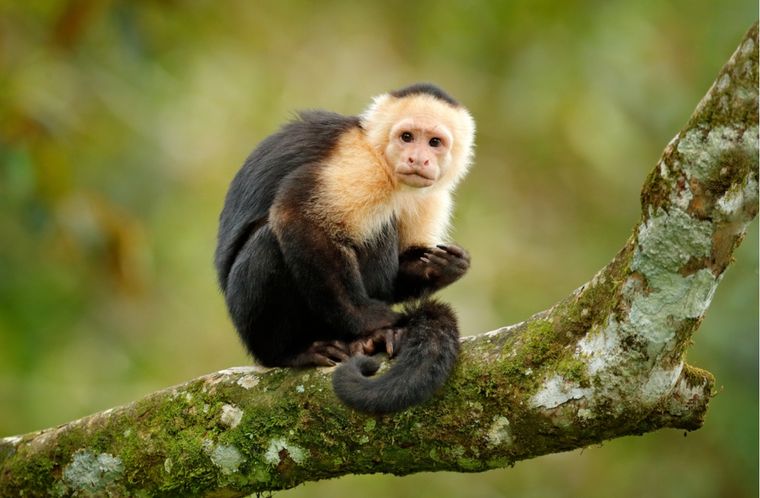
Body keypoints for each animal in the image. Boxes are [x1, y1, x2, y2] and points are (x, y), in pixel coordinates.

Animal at [214, 83, 475, 413]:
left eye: (434, 142)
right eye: (407, 137)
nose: (418, 159)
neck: (382, 160)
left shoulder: (432, 196)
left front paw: (443, 268)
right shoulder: (361, 165)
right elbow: (298, 217)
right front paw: (375, 321)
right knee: (271, 242)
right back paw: (291, 352)